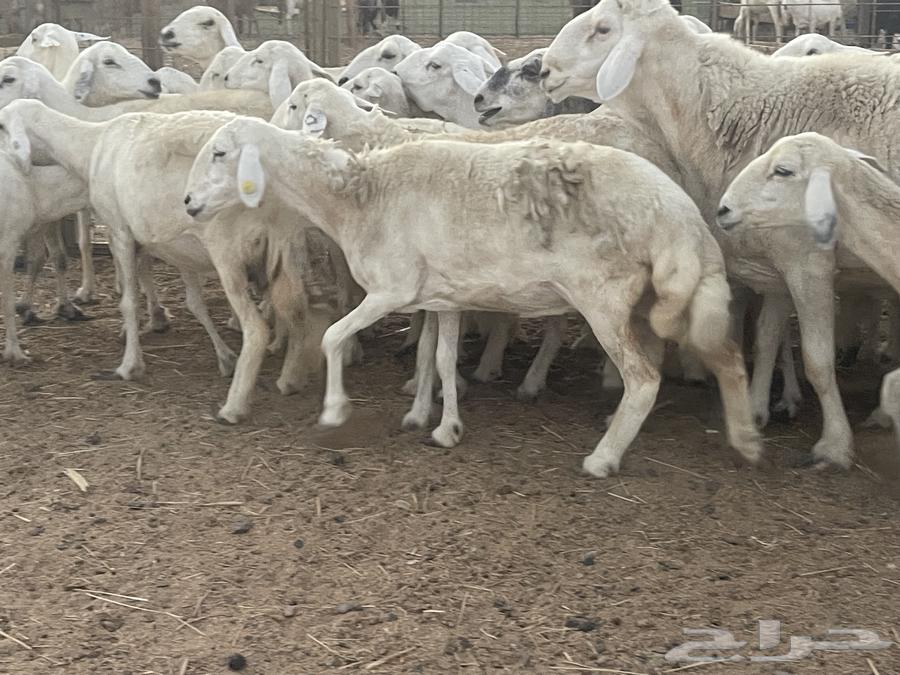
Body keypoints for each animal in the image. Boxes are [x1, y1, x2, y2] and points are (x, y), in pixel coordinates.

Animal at [183, 117, 763, 477]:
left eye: (220, 153)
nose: (187, 203)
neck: (359, 197)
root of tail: (682, 216)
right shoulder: (441, 296)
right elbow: (435, 358)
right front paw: (441, 425)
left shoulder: (392, 288)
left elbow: (331, 337)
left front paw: (334, 412)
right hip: (663, 296)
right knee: (727, 357)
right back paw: (745, 439)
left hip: (605, 296)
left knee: (644, 378)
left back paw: (604, 457)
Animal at [541, 0, 900, 467]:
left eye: (602, 29)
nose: (544, 69)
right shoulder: (773, 260)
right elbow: (765, 339)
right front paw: (757, 411)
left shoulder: (808, 261)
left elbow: (818, 361)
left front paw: (834, 446)